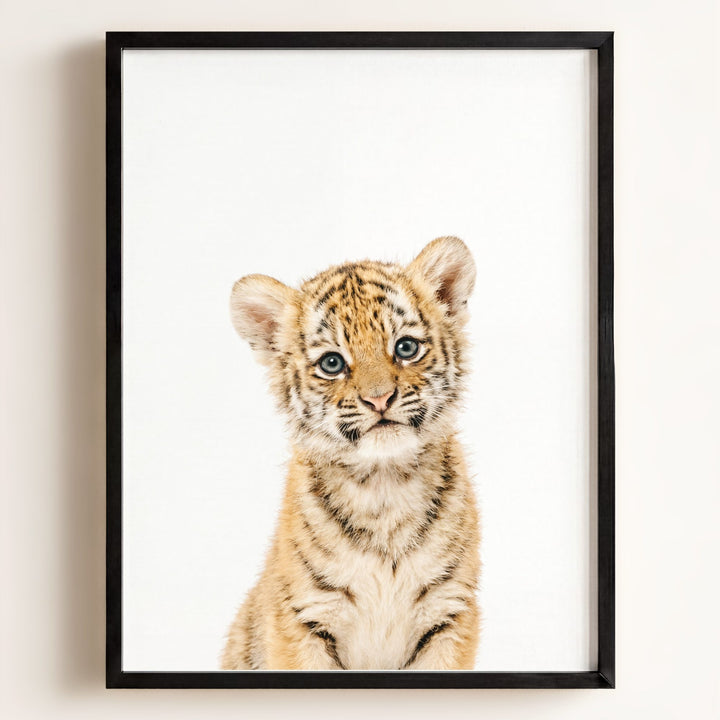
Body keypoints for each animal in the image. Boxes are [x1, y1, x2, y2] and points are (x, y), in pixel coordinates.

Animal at [221, 236, 480, 670]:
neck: (384, 485)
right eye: (332, 363)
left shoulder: (449, 613)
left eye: (405, 347)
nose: (379, 399)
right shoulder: (303, 618)